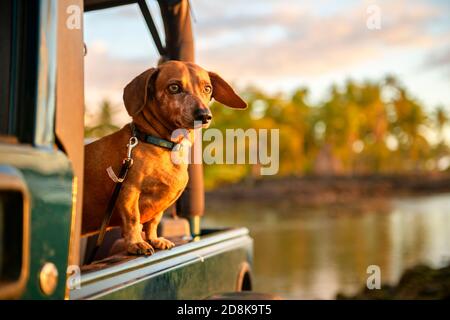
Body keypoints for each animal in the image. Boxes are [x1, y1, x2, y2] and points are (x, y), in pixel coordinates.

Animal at [82, 60, 248, 255]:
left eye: (207, 88)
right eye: (174, 87)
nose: (204, 116)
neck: (161, 145)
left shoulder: (160, 205)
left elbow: (153, 222)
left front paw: (154, 239)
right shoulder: (128, 191)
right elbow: (132, 219)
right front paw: (136, 243)